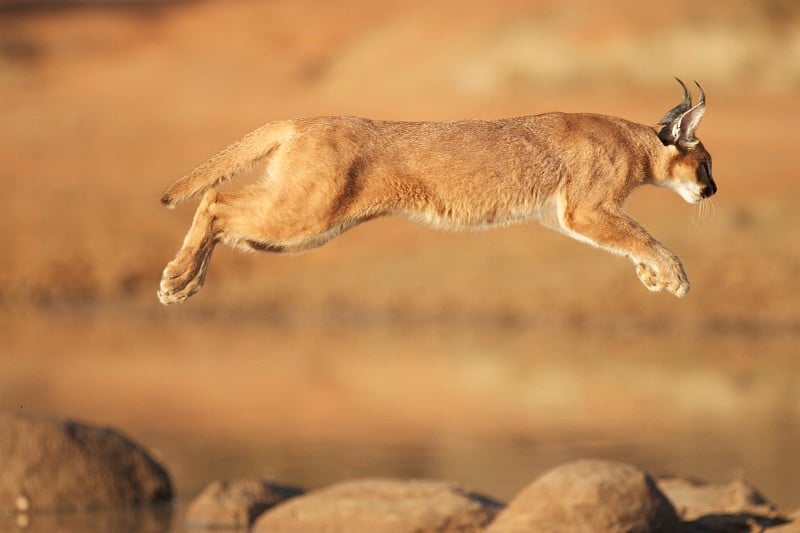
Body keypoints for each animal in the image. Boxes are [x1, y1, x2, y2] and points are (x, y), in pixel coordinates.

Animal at [156, 78, 712, 304]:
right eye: (707, 163)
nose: (713, 188)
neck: (636, 145)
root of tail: (301, 119)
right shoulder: (586, 208)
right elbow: (643, 235)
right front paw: (676, 278)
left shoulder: (567, 215)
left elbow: (630, 239)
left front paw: (652, 278)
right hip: (306, 213)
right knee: (216, 201)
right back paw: (178, 279)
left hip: (297, 224)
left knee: (226, 217)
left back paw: (186, 281)